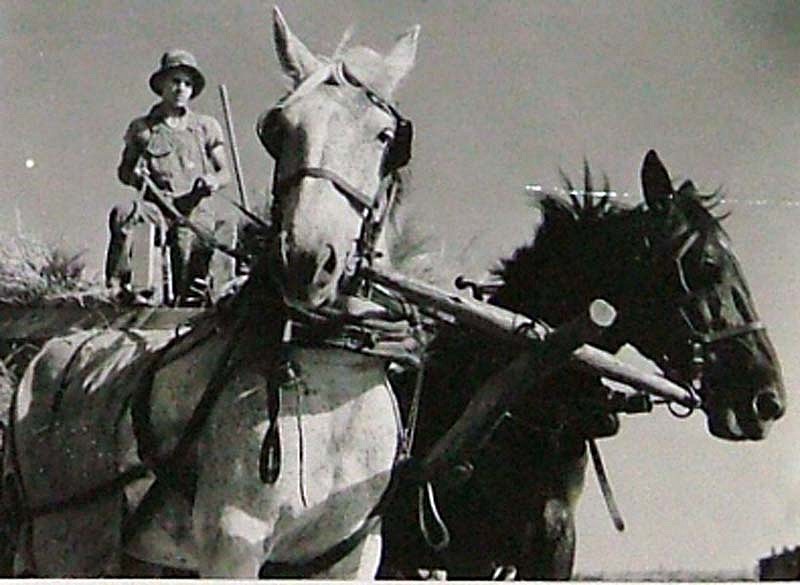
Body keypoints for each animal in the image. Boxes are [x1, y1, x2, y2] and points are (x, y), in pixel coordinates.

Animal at [4, 8, 418, 576]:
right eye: (279, 129)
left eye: (385, 136)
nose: (307, 258)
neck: (328, 365)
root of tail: (47, 353)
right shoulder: (232, 542)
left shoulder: (351, 555)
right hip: (64, 538)